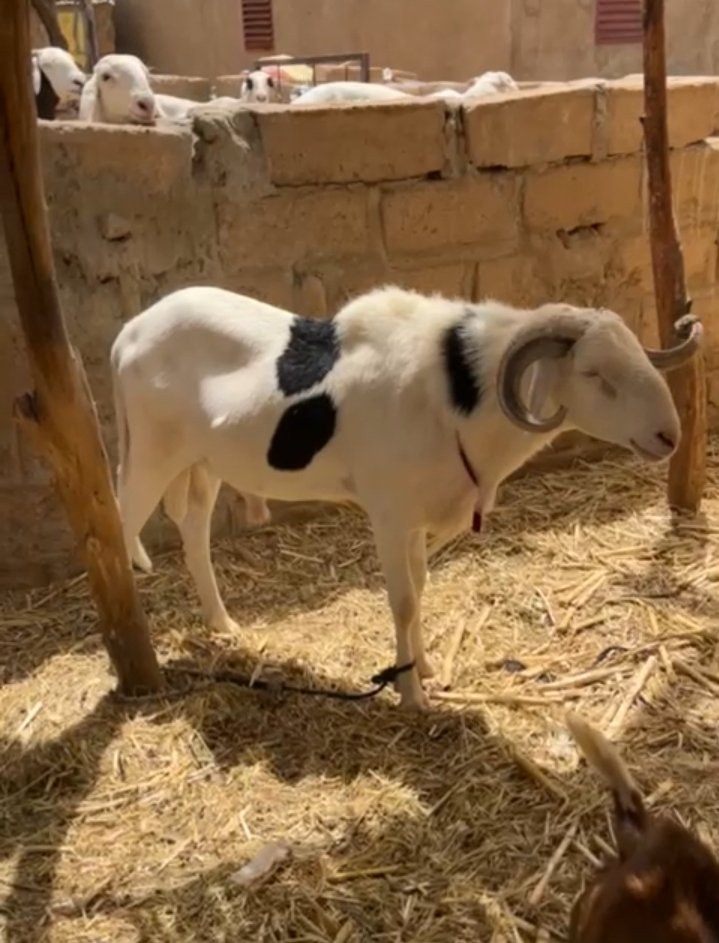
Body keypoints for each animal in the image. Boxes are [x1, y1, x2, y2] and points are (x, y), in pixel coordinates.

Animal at [110, 286, 701, 710]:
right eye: (594, 373)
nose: (669, 436)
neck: (454, 398)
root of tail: (126, 336)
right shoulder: (391, 514)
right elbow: (404, 600)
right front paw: (412, 695)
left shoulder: (417, 515)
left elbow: (420, 588)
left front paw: (426, 668)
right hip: (151, 453)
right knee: (122, 525)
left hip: (202, 462)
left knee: (192, 530)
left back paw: (222, 625)